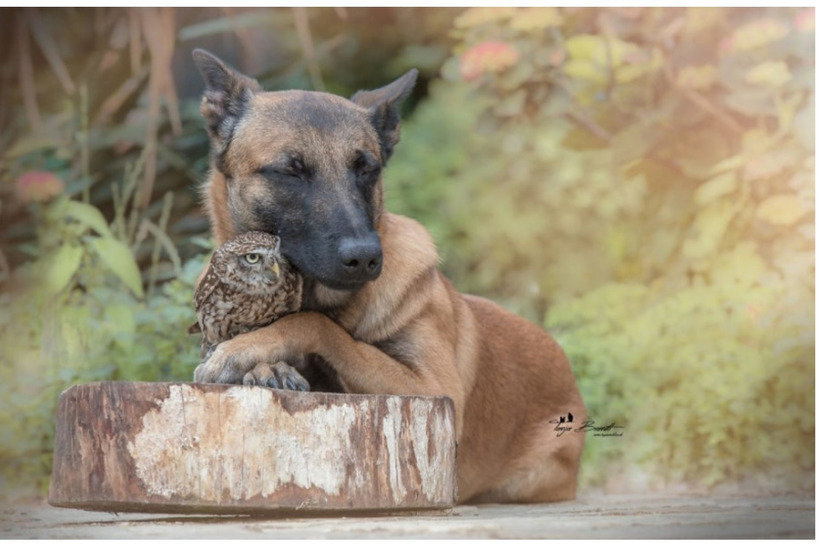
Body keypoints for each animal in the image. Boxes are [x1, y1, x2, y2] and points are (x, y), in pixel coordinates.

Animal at [190, 48, 586, 503]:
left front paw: (248, 350)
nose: (364, 257)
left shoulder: (435, 389)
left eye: (367, 169)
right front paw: (265, 367)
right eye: (290, 171)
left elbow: (318, 325)